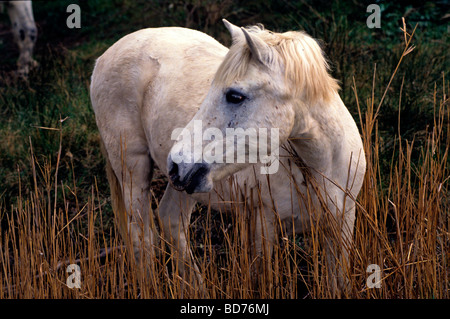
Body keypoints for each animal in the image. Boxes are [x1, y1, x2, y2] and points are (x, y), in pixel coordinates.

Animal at [90, 20, 366, 296]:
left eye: (235, 96)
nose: (176, 163)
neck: (318, 169)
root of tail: (108, 54)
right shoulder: (263, 223)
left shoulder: (343, 223)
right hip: (133, 169)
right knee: (142, 236)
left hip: (186, 186)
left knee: (170, 219)